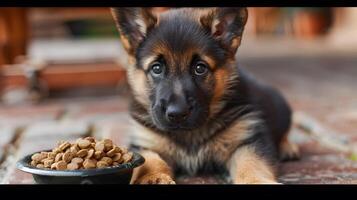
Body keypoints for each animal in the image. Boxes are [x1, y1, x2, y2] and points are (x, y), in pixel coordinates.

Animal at [110, 7, 298, 184]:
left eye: (200, 68)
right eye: (156, 68)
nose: (177, 114)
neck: (190, 133)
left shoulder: (248, 141)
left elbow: (251, 163)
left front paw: (255, 181)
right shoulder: (145, 144)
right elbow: (150, 161)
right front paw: (152, 177)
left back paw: (288, 147)